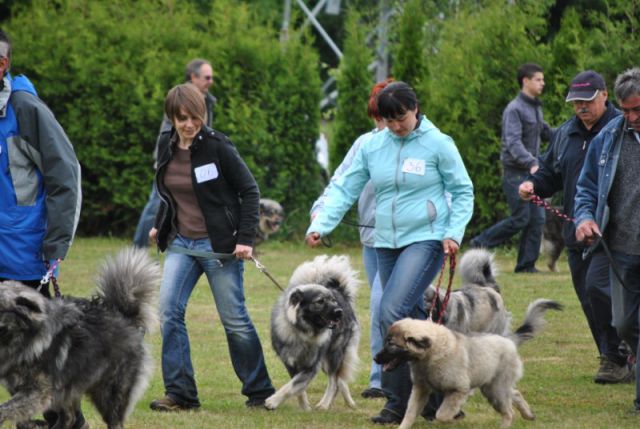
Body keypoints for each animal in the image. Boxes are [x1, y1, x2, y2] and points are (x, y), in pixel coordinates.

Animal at [0, 246, 159, 428]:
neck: (24, 338)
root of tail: (124, 316)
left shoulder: (37, 391)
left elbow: (6, 409)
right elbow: (20, 418)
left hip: (108, 392)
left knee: (111, 419)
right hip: (69, 385)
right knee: (69, 417)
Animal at [266, 252, 362, 410]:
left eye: (332, 300)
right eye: (320, 301)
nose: (339, 312)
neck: (302, 331)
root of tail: (341, 292)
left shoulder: (311, 367)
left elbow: (290, 386)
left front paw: (273, 401)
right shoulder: (291, 364)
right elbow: (297, 388)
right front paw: (304, 407)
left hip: (333, 355)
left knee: (334, 381)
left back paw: (325, 404)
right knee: (340, 379)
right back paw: (347, 402)